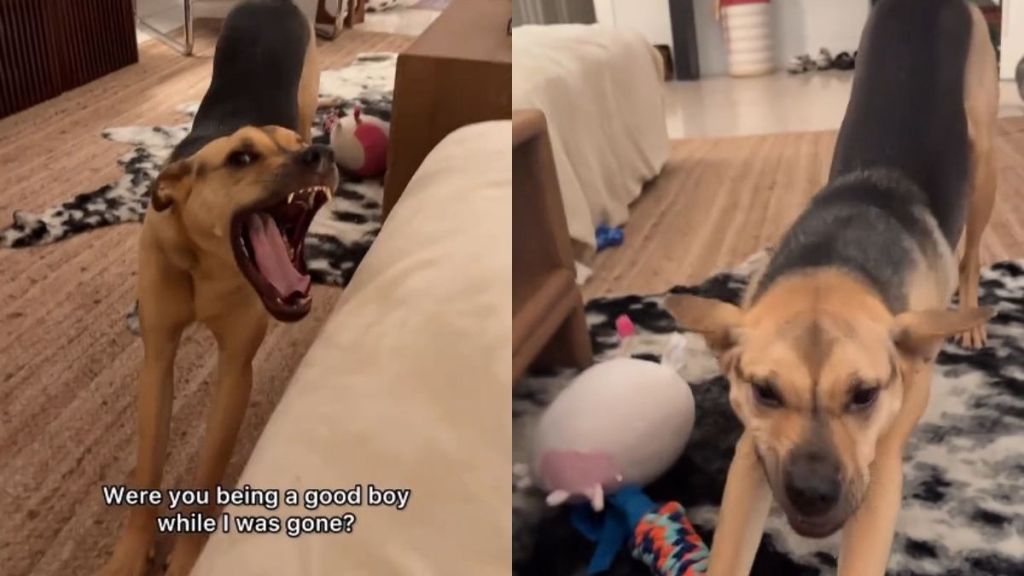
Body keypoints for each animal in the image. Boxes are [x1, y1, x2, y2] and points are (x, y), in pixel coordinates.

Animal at [100, 2, 339, 575]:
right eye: (241, 159)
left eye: (301, 151)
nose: (321, 155)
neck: (206, 262)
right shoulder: (158, 359)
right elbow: (147, 464)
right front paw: (132, 552)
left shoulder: (235, 369)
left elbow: (209, 471)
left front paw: (188, 555)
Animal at [665, 1, 997, 574]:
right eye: (765, 392)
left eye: (864, 395)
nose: (812, 493)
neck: (837, 259)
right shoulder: (750, 459)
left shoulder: (878, 473)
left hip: (985, 162)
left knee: (973, 252)